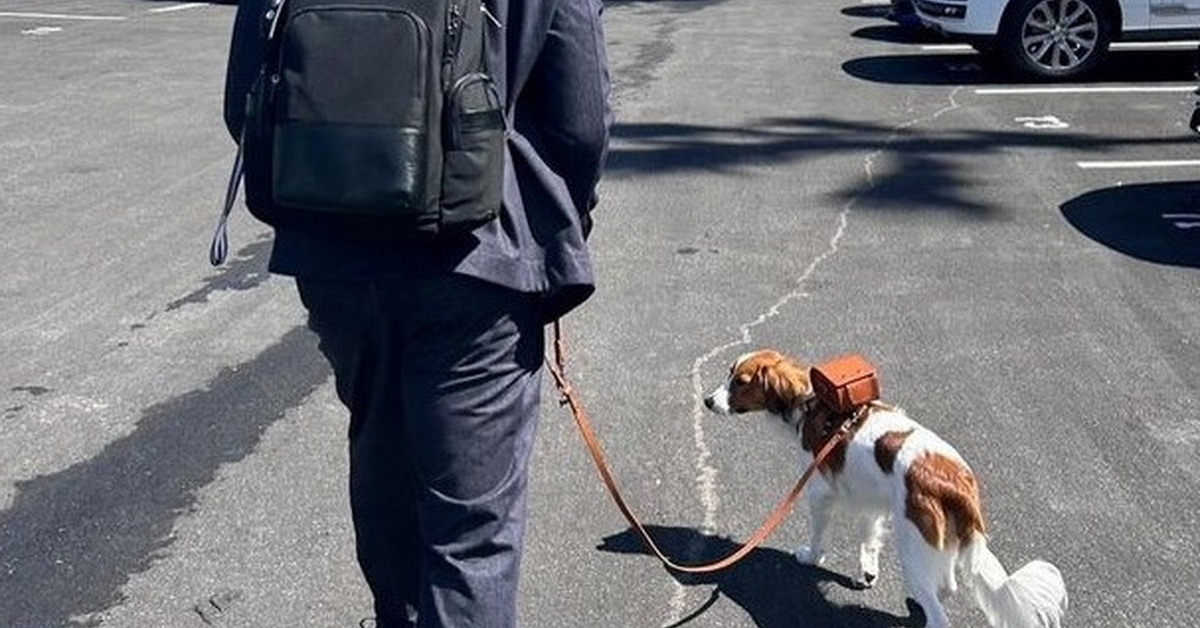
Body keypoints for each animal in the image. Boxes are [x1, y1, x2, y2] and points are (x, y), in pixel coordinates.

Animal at [703, 349, 1067, 628]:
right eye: (729, 374)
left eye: (740, 383)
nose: (707, 401)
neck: (810, 402)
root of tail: (957, 483)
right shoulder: (870, 496)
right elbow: (869, 537)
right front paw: (867, 572)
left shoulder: (819, 492)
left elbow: (819, 536)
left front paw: (811, 557)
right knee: (947, 585)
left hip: (913, 546)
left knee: (940, 615)